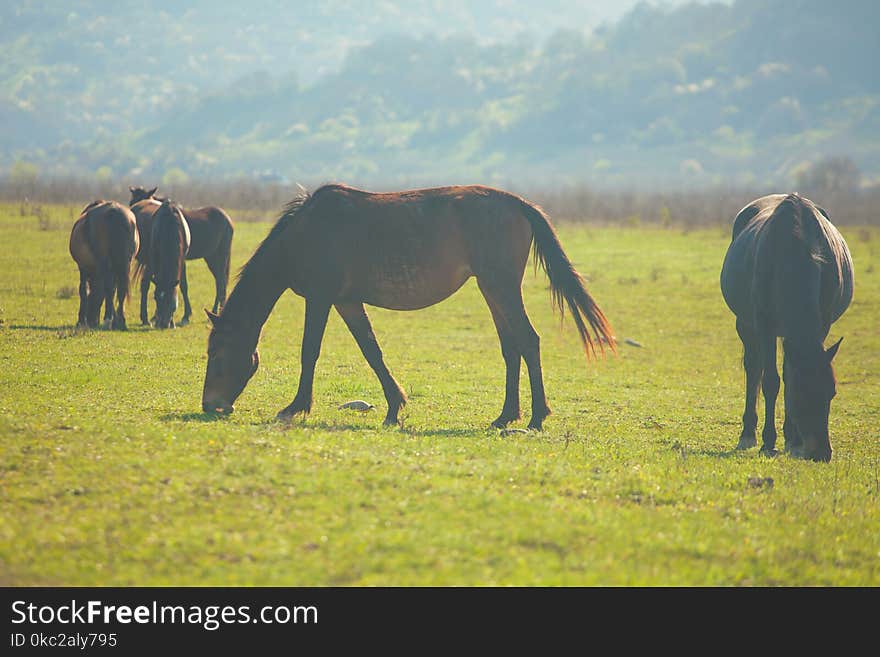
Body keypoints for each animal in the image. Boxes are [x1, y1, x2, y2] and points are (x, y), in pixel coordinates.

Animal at [68, 200, 139, 330]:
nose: (92, 321)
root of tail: (114, 211)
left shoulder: (83, 268)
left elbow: (83, 290)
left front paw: (81, 320)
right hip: (125, 263)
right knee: (120, 290)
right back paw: (121, 321)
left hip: (104, 262)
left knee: (108, 288)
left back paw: (107, 320)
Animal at [720, 193, 852, 462]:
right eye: (802, 394)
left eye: (832, 392)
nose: (822, 452)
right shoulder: (764, 324)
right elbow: (771, 381)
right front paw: (768, 441)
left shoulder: (821, 323)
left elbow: (789, 373)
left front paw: (793, 440)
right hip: (746, 325)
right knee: (753, 368)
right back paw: (748, 433)